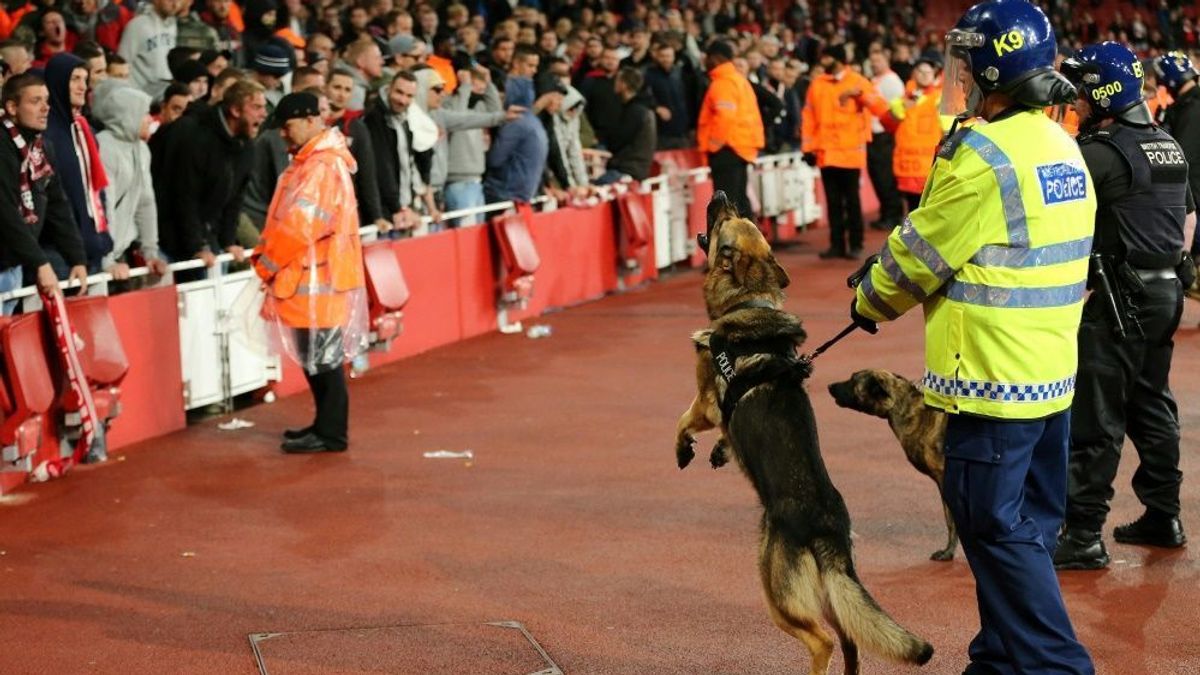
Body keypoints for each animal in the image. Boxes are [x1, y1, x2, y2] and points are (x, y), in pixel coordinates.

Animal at [672, 192, 931, 672]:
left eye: (723, 223)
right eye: (735, 216)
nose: (720, 195)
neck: (749, 301)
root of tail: (826, 532)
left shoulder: (706, 400)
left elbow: (684, 419)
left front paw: (685, 448)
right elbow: (724, 435)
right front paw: (719, 450)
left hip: (775, 590)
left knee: (822, 640)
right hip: (832, 596)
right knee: (851, 640)